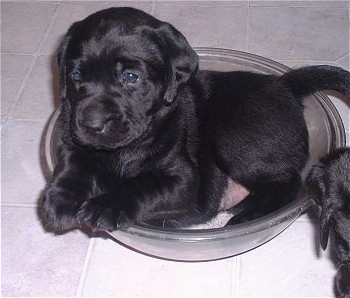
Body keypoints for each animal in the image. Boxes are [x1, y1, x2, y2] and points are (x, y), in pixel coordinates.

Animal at [41, 6, 350, 230]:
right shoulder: (71, 139)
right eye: (76, 75)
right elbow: (72, 165)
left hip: (234, 139)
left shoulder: (182, 180)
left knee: (288, 182)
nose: (91, 125)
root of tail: (285, 84)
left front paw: (105, 206)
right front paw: (59, 199)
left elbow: (140, 185)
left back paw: (246, 217)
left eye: (130, 77)